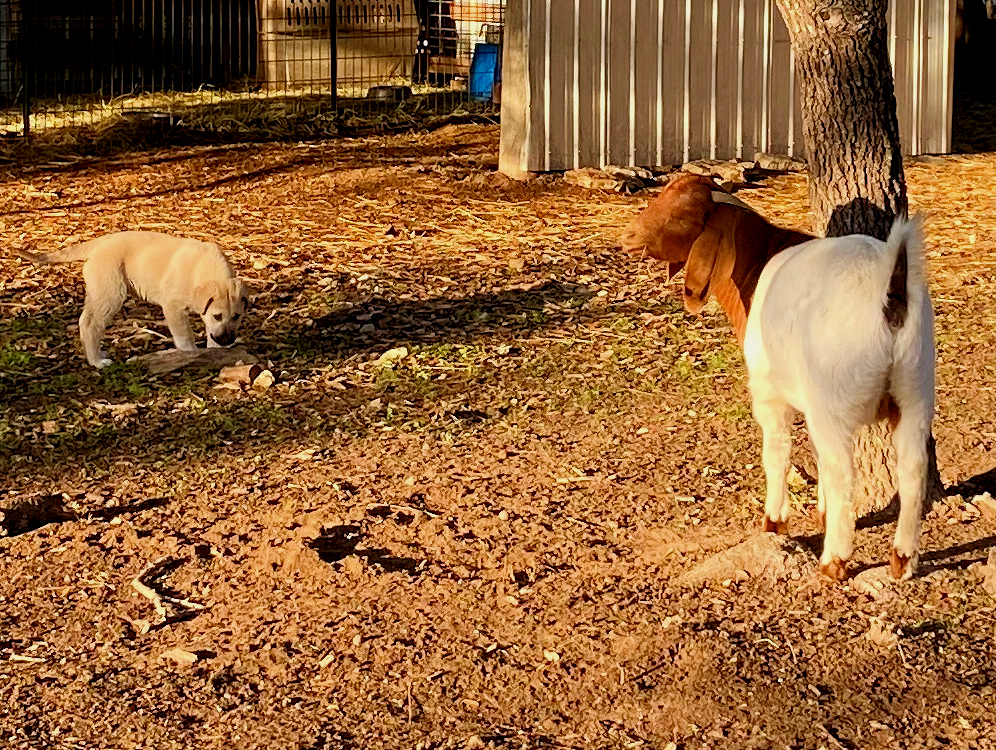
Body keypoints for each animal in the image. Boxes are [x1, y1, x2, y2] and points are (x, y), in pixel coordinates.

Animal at [18, 231, 251, 368]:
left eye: (237, 317)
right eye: (218, 315)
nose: (227, 341)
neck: (204, 272)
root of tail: (100, 242)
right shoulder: (173, 307)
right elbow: (185, 337)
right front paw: (191, 355)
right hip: (111, 293)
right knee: (90, 323)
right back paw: (97, 361)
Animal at [748, 217, 932, 580]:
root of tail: (889, 286)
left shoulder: (768, 395)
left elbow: (776, 452)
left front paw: (774, 522)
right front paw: (821, 511)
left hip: (833, 392)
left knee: (842, 471)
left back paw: (834, 559)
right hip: (916, 387)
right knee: (913, 468)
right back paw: (902, 559)